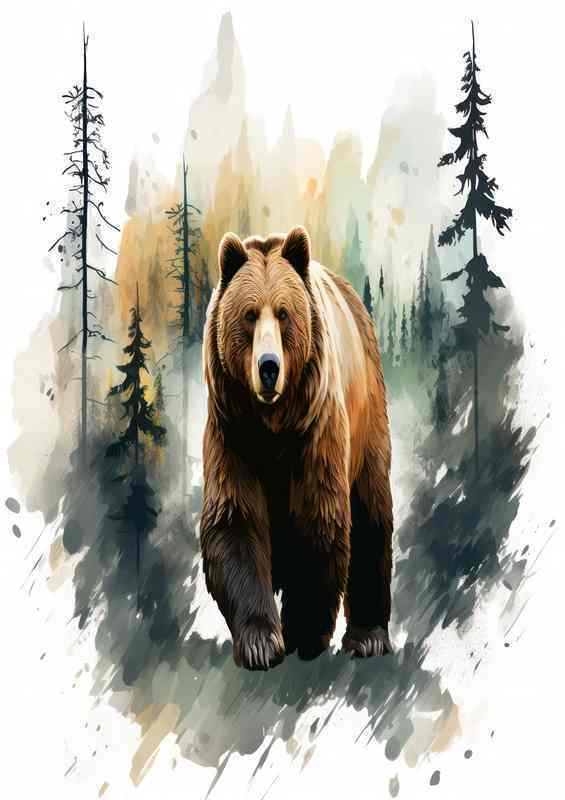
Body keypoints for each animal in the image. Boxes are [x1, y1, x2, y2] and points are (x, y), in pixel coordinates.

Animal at [200, 225, 393, 670]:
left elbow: (319, 517)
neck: (273, 422)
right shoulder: (233, 432)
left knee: (371, 508)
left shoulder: (315, 429)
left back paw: (369, 636)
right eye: (250, 314)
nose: (269, 367)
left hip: (368, 416)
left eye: (284, 312)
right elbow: (234, 519)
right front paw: (261, 642)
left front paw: (303, 633)